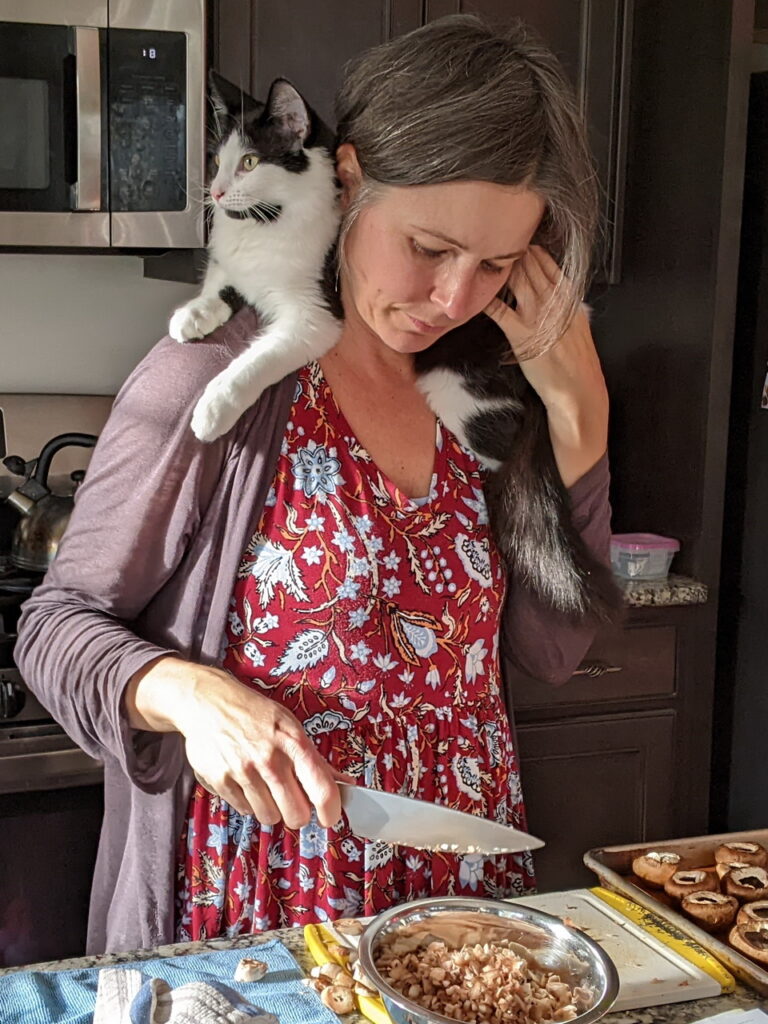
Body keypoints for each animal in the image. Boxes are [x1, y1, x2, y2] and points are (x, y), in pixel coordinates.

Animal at [171, 74, 622, 622]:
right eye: (217, 160)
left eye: (252, 162)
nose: (214, 191)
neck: (266, 227)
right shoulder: (233, 267)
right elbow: (218, 284)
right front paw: (191, 317)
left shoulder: (315, 318)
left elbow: (254, 362)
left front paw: (214, 407)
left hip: (456, 388)